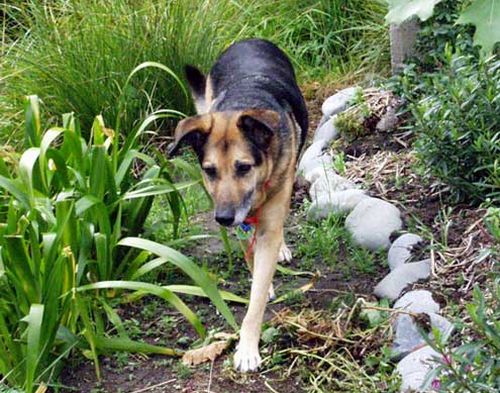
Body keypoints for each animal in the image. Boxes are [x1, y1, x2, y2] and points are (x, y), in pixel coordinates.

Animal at [169, 39, 308, 370]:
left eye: (243, 167)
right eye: (209, 171)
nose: (222, 218)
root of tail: (249, 40)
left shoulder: (267, 223)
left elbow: (255, 300)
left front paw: (247, 348)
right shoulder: (242, 223)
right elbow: (252, 262)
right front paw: (261, 278)